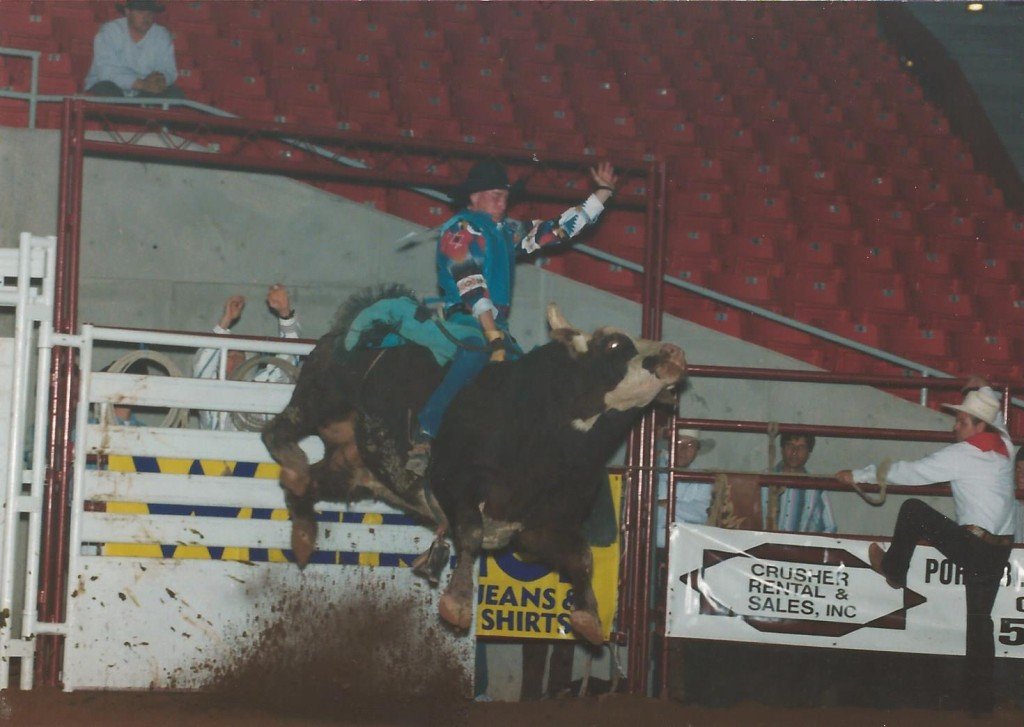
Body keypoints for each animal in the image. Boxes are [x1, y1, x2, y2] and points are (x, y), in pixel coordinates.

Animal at [261, 286, 686, 644]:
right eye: (614, 343)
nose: (675, 354)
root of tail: (347, 331)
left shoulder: (540, 526)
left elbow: (581, 557)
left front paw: (589, 619)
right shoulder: (454, 484)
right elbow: (470, 533)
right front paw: (457, 604)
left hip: (351, 466)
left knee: (309, 484)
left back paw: (302, 532)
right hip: (319, 397)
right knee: (277, 430)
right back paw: (293, 466)